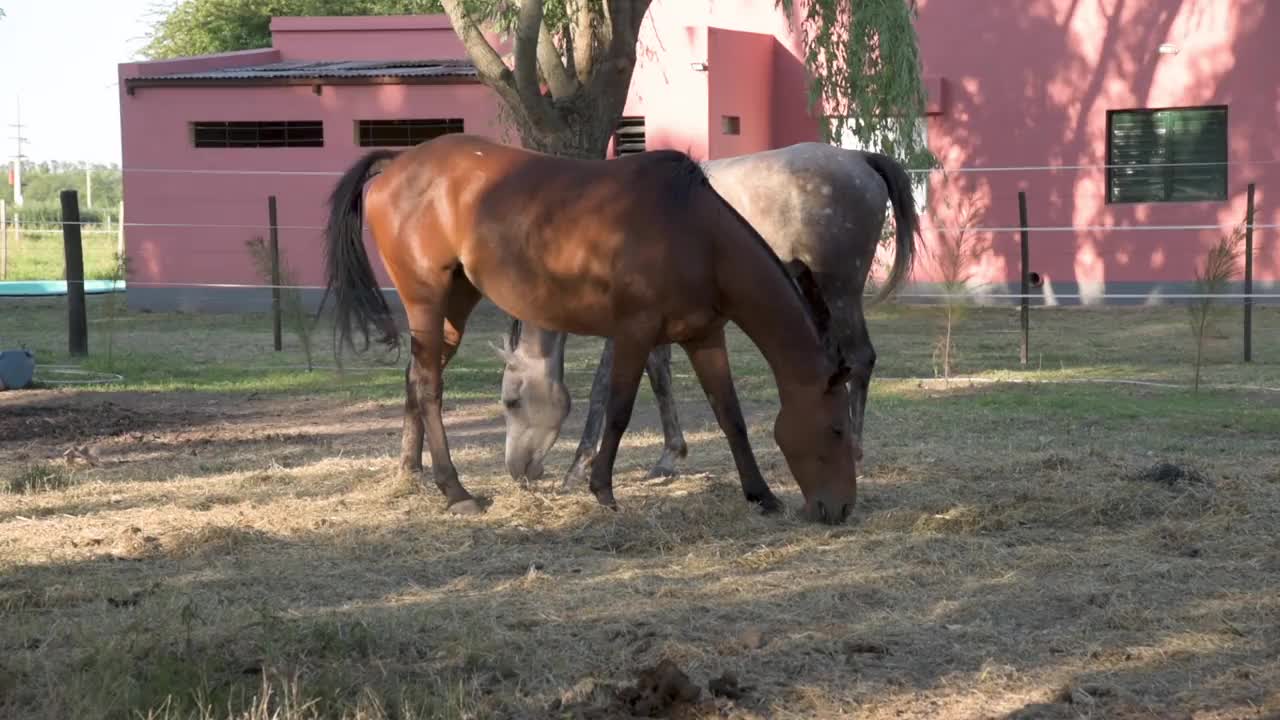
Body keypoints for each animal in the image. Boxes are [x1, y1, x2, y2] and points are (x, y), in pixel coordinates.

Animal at [320, 133, 860, 520]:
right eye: (836, 429)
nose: (840, 509)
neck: (696, 233)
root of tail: (398, 162)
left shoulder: (704, 336)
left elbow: (731, 417)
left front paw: (761, 494)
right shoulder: (634, 333)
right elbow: (618, 410)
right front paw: (602, 489)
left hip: (455, 303)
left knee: (415, 378)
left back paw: (411, 473)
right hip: (426, 301)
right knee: (430, 387)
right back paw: (456, 491)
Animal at [496, 139, 921, 486]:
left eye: (511, 400)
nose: (518, 471)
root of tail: (859, 157)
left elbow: (605, 385)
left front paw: (578, 465)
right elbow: (659, 373)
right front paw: (669, 455)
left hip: (840, 289)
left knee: (861, 358)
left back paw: (854, 451)